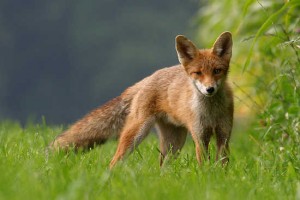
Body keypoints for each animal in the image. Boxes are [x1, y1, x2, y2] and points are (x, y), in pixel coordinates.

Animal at [50, 31, 234, 169]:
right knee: (114, 161)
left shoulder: (224, 135)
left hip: (174, 144)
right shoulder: (199, 136)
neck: (211, 113)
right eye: (198, 73)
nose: (209, 89)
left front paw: (218, 179)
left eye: (217, 71)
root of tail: (147, 78)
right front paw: (207, 178)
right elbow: (204, 166)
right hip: (137, 133)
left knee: (162, 167)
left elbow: (223, 164)